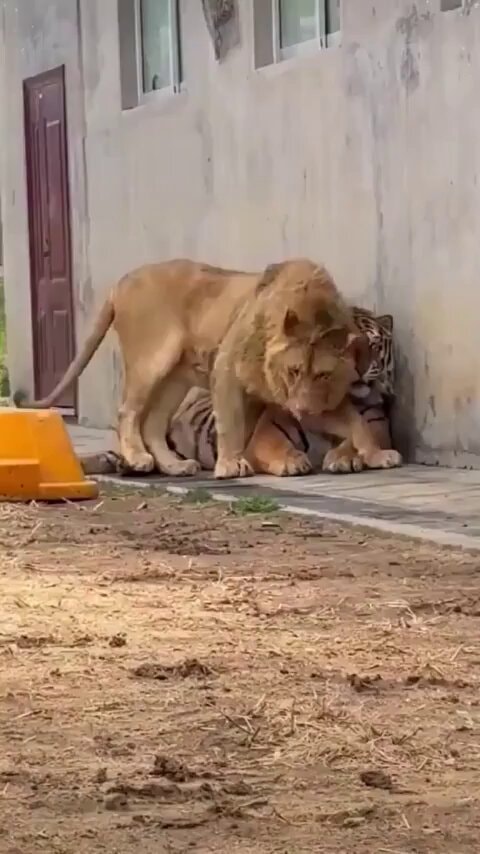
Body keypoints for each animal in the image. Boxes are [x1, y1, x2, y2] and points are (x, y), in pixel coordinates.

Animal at [165, 308, 395, 475]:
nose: (360, 368)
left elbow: (355, 440)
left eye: (374, 344)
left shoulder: (377, 427)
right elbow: (277, 446)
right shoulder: (267, 432)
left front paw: (342, 458)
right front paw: (291, 461)